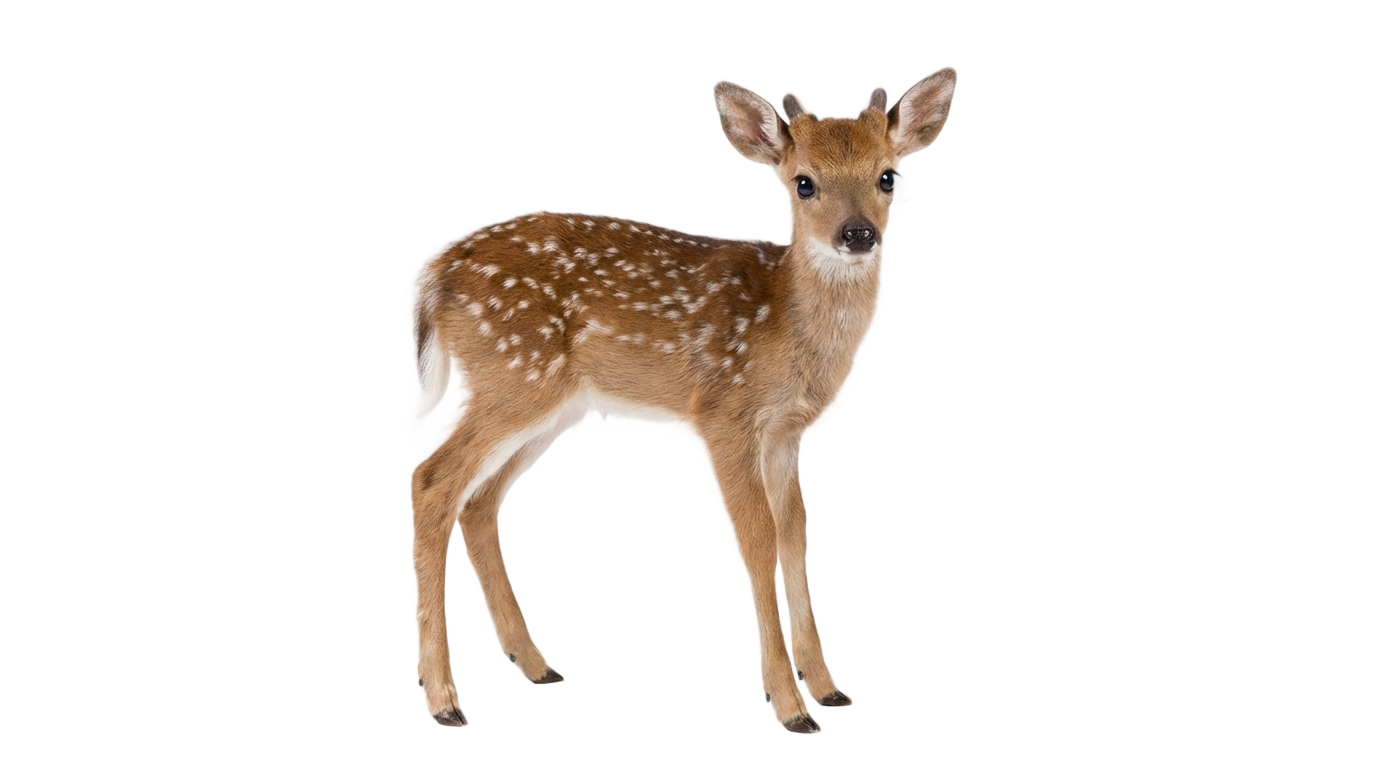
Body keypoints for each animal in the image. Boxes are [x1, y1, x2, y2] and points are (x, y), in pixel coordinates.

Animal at [410, 68, 957, 741]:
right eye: (803, 181)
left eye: (888, 176)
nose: (857, 235)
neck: (784, 329)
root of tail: (434, 278)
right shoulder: (721, 412)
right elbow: (756, 536)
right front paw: (790, 706)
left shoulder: (784, 432)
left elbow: (794, 532)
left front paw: (828, 691)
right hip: (515, 374)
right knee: (433, 479)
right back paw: (443, 701)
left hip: (546, 400)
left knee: (477, 497)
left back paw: (539, 669)